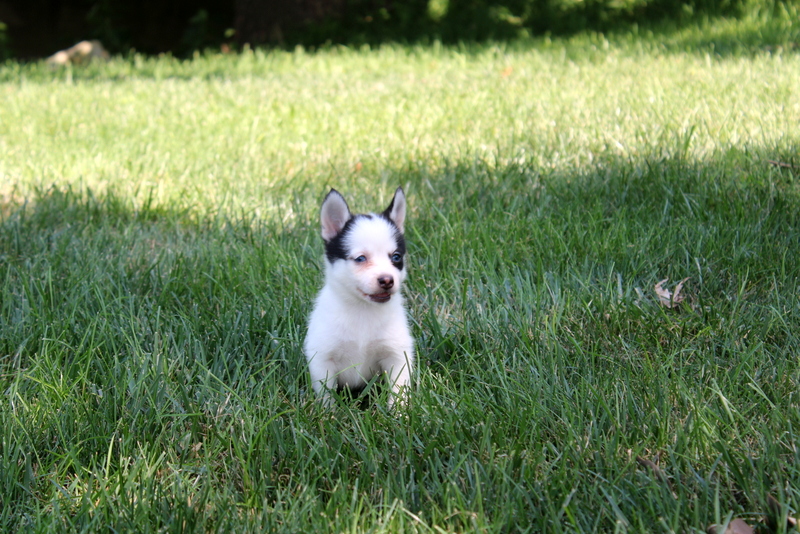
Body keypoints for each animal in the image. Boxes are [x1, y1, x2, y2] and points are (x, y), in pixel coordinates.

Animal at [304, 186, 416, 408]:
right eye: (361, 258)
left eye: (396, 257)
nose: (387, 280)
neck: (363, 310)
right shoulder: (322, 358)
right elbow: (326, 395)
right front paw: (328, 413)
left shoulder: (397, 355)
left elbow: (399, 391)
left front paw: (400, 413)